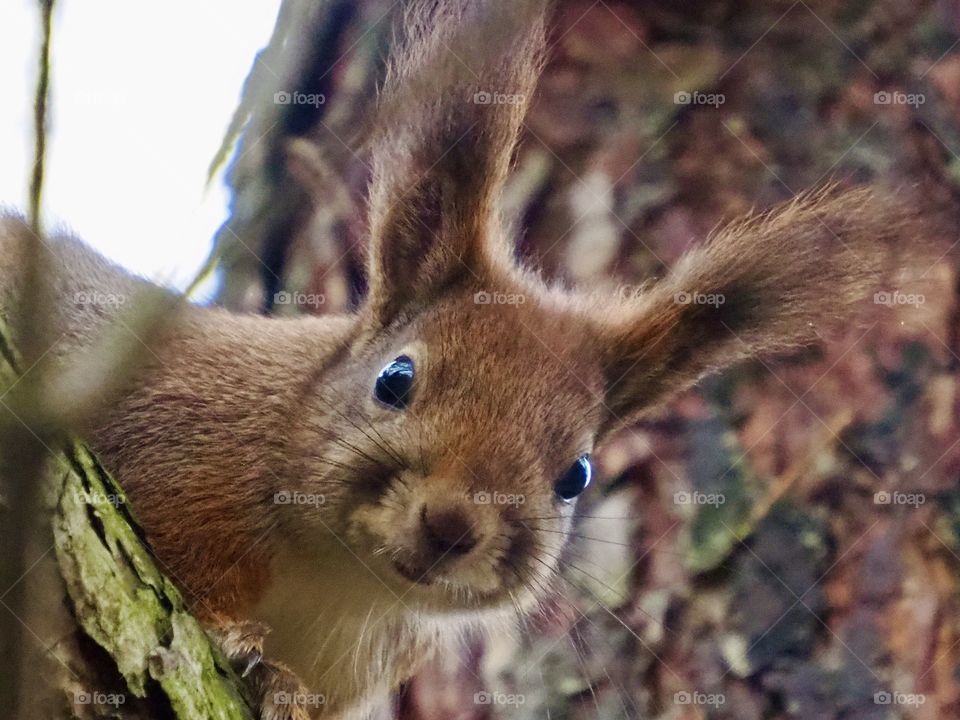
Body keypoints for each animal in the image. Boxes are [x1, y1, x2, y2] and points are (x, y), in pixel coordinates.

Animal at [0, 1, 930, 718]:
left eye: (576, 476)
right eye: (396, 379)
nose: (450, 525)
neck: (334, 574)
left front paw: (284, 687)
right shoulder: (171, 450)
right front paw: (243, 644)